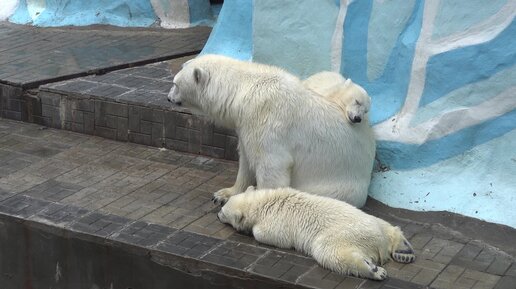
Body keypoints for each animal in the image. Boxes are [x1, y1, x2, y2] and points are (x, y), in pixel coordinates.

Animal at [168, 54, 374, 207]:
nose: (169, 98)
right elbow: (246, 159)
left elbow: (272, 166)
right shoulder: (246, 124)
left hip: (338, 185)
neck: (245, 90)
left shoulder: (268, 119)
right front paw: (223, 194)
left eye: (176, 84)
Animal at [218, 186, 416, 280]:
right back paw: (404, 251)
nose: (218, 214)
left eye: (224, 211)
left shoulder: (276, 222)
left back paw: (374, 270)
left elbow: (265, 233)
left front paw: (248, 230)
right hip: (373, 220)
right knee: (390, 227)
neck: (263, 202)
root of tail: (378, 241)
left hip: (341, 234)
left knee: (330, 253)